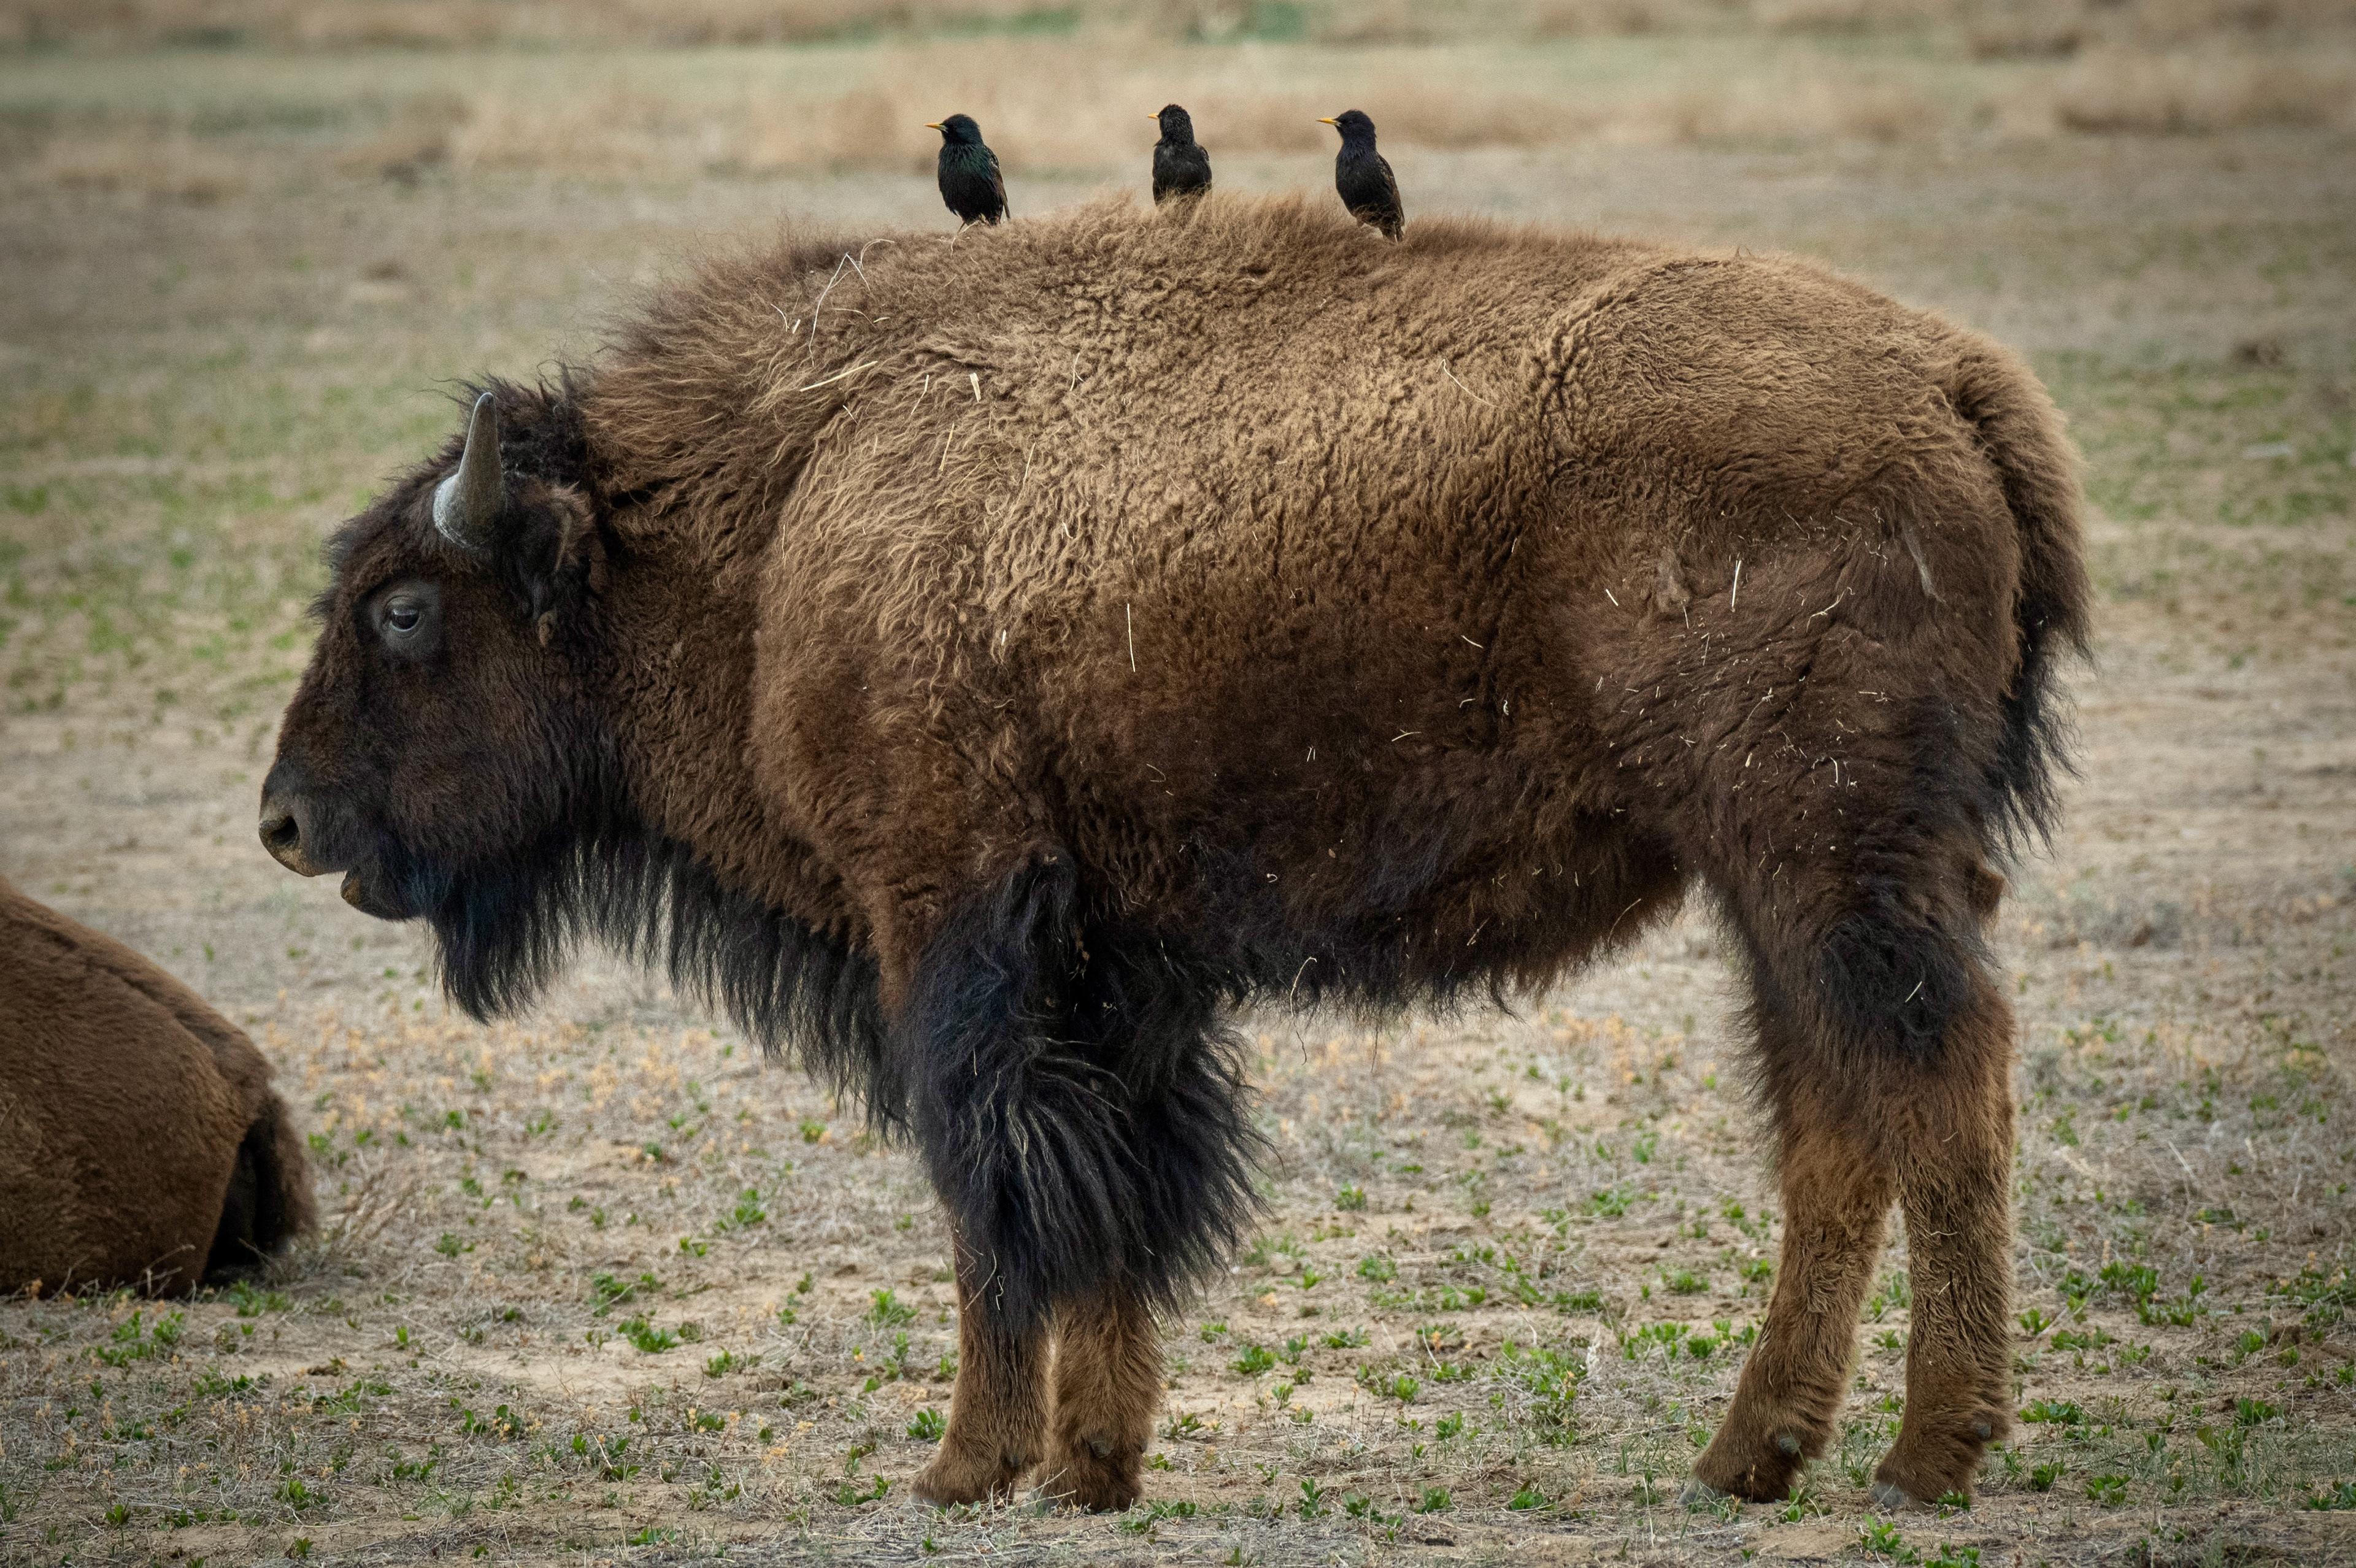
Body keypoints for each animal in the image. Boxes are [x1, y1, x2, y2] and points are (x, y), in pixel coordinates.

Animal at [261, 195, 2086, 1510]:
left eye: (404, 610)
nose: (285, 818)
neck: (781, 506)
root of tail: (1954, 377)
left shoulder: (949, 924)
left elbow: (994, 1185)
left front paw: (966, 1466)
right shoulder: (1115, 966)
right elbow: (1116, 1197)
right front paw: (1092, 1467)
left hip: (1826, 859)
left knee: (1944, 1080)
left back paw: (1927, 1458)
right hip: (1777, 886)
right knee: (1834, 1121)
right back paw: (1748, 1455)